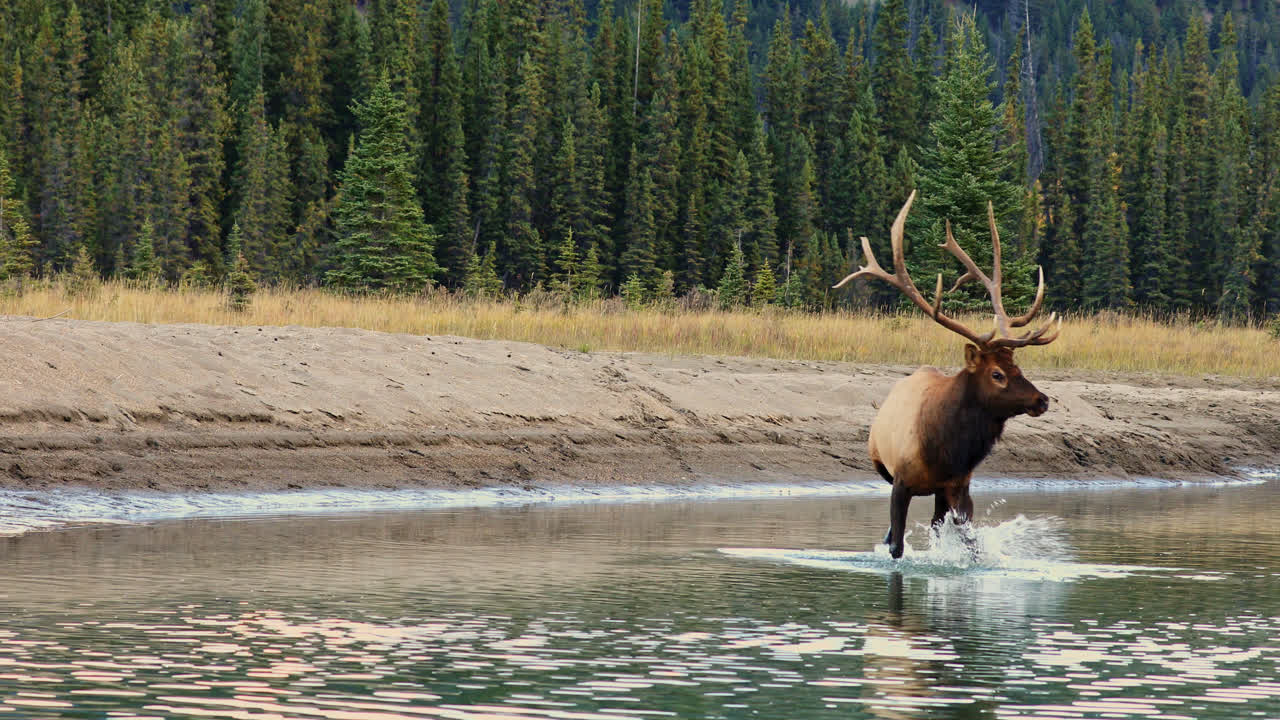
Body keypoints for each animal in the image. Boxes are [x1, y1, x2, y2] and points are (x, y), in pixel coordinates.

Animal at [833, 190, 1061, 559]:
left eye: (1018, 368)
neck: (946, 450)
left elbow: (969, 542)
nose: (1041, 400)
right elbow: (897, 545)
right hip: (883, 466)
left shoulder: (958, 486)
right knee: (890, 533)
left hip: (940, 494)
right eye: (997, 374)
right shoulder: (901, 482)